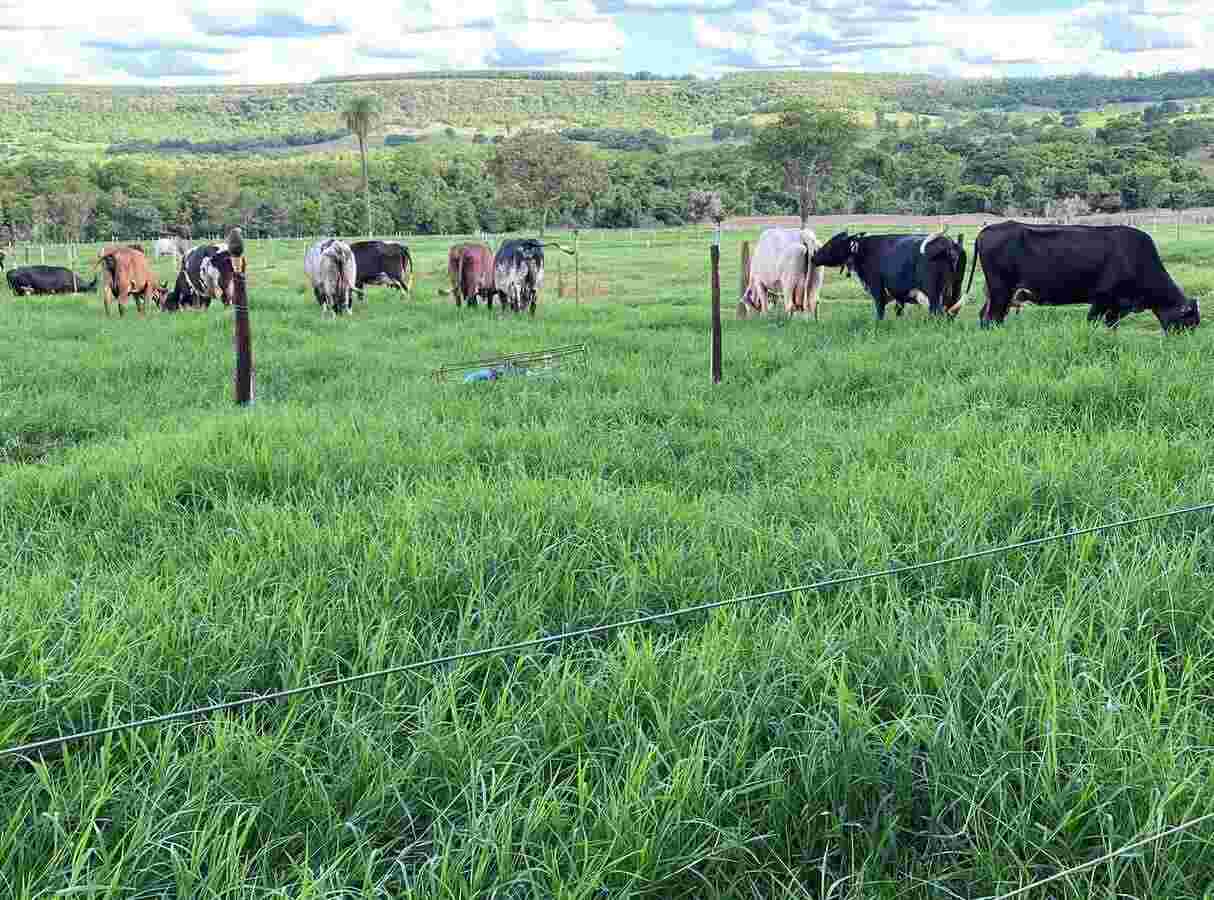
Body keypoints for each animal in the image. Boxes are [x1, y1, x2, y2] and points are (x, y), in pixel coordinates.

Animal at [810, 229, 971, 320]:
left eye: (831, 243)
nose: (814, 257)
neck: (864, 250)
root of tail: (949, 243)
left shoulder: (877, 287)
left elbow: (880, 310)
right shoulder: (898, 293)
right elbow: (898, 310)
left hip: (933, 292)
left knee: (937, 311)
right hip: (955, 288)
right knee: (950, 311)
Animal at [961, 219, 1199, 332]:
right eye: (1189, 321)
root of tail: (988, 229)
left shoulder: (1116, 306)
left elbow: (1111, 327)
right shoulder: (1102, 299)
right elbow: (1092, 322)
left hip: (997, 293)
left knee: (987, 316)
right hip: (1001, 291)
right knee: (992, 318)